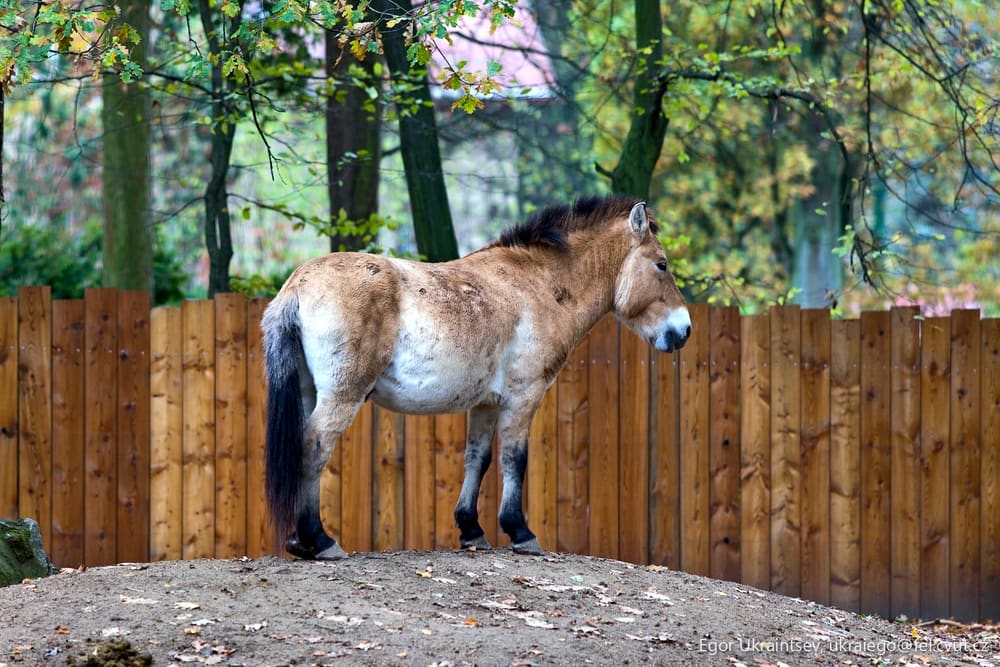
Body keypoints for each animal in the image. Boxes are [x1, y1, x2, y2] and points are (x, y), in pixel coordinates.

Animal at [263, 195, 691, 559]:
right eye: (662, 264)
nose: (683, 330)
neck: (538, 285)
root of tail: (297, 285)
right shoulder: (523, 396)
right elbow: (514, 458)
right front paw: (520, 531)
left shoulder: (485, 404)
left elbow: (478, 459)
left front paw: (471, 530)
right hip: (343, 394)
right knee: (314, 446)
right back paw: (319, 540)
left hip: (309, 392)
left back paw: (301, 541)